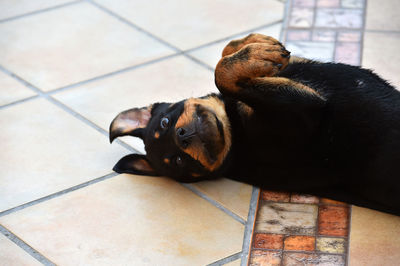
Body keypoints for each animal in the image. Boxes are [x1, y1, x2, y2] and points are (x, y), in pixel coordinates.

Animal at [108, 33, 400, 216]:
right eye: (179, 161)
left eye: (166, 121)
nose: (182, 137)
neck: (236, 133)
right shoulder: (305, 112)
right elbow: (221, 75)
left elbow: (226, 54)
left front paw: (257, 46)